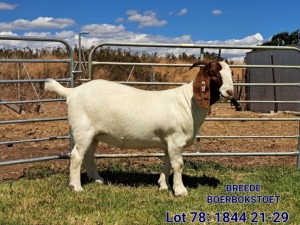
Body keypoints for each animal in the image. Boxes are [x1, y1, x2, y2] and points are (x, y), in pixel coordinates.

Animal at [44, 60, 233, 196]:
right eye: (214, 74)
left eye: (231, 74)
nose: (230, 92)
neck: (187, 102)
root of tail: (72, 92)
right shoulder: (175, 140)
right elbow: (178, 165)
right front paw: (180, 190)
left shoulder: (168, 142)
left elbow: (167, 163)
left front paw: (163, 185)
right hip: (83, 130)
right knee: (76, 156)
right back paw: (76, 187)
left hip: (94, 134)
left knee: (89, 156)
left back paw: (98, 180)